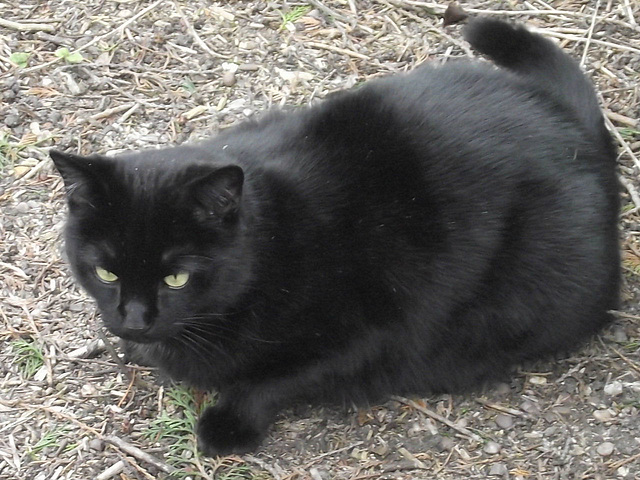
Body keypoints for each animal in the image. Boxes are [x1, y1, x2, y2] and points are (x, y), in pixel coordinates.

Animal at [51, 17, 620, 454]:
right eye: (105, 271)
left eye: (175, 278)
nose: (133, 320)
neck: (273, 243)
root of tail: (573, 128)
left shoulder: (369, 330)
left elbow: (275, 380)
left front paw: (227, 424)